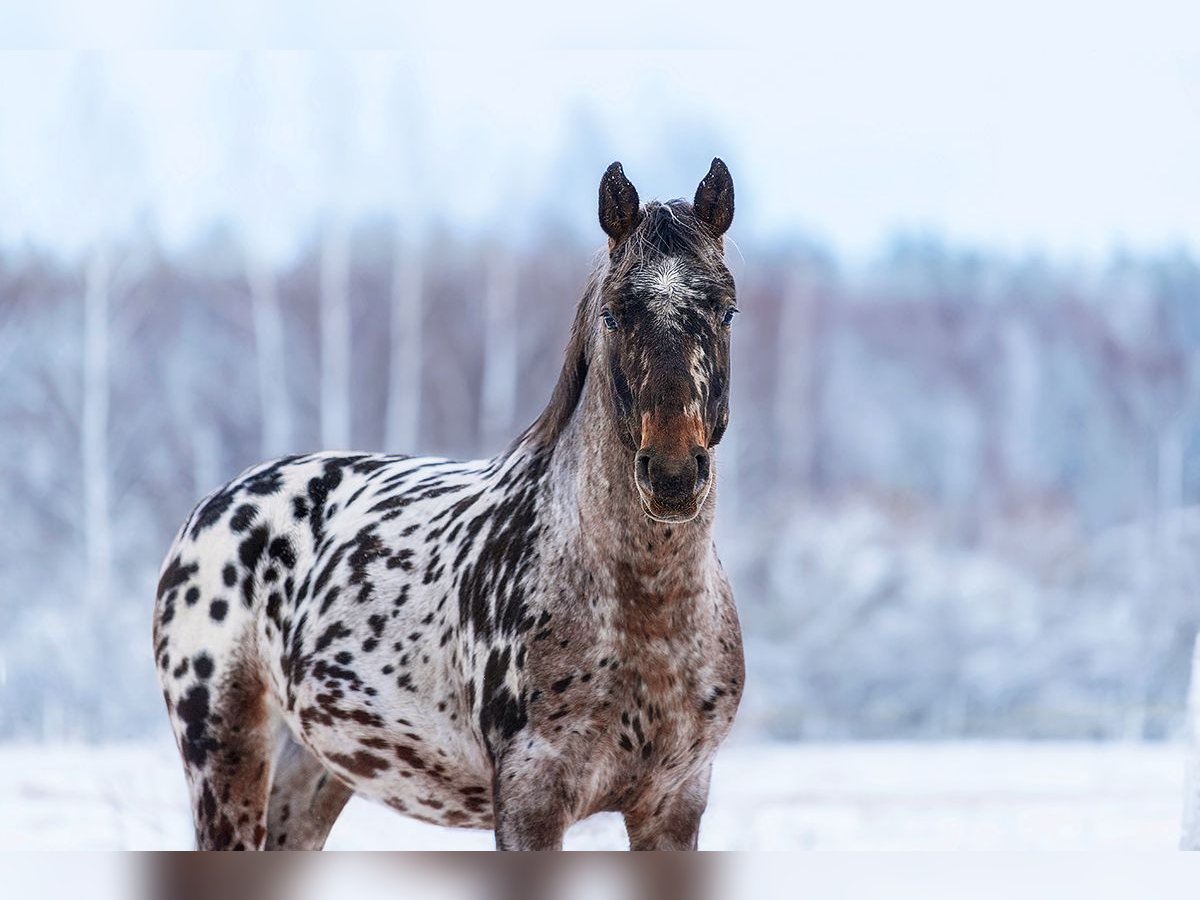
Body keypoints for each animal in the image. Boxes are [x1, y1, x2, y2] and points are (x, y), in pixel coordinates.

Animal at [152, 157, 739, 854]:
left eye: (727, 311)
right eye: (614, 315)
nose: (673, 474)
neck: (646, 617)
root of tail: (216, 510)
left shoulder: (675, 805)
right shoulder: (530, 804)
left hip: (316, 771)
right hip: (225, 764)